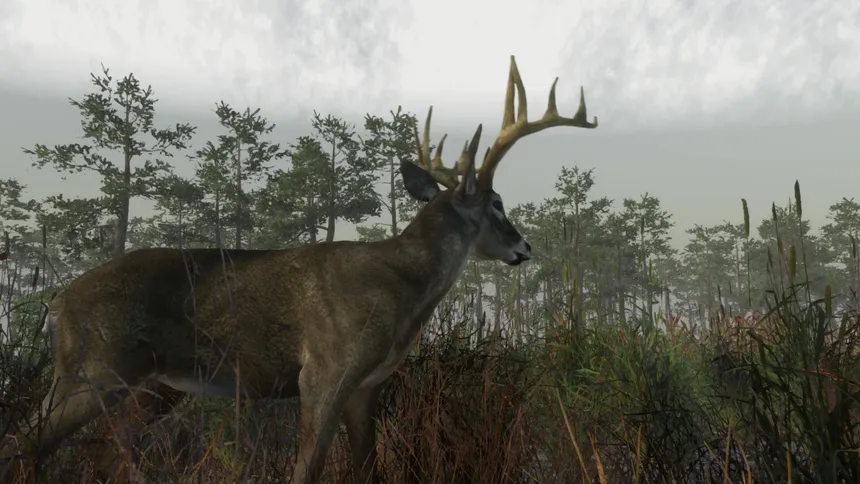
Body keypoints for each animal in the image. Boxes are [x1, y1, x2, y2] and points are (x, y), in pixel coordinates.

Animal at [0, 55, 597, 483]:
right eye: (496, 202)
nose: (525, 247)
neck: (402, 288)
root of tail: (57, 302)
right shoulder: (324, 370)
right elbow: (306, 470)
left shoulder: (365, 386)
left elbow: (366, 469)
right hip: (93, 367)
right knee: (24, 442)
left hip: (152, 385)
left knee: (105, 454)